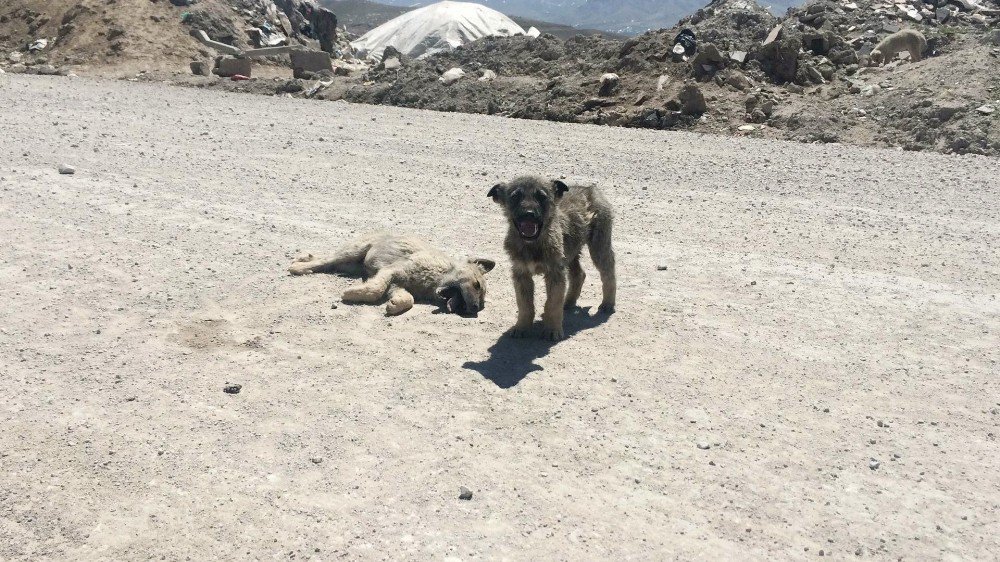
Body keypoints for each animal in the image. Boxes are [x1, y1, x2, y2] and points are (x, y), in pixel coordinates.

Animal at [288, 232, 494, 316]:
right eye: (476, 285)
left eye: (481, 301)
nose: (474, 309)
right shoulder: (391, 271)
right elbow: (375, 289)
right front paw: (353, 293)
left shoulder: (397, 286)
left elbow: (408, 299)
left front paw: (394, 306)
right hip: (352, 253)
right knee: (325, 261)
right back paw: (298, 267)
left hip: (349, 264)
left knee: (326, 262)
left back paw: (304, 258)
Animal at [486, 175, 612, 340]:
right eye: (515, 196)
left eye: (542, 196)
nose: (528, 214)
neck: (533, 245)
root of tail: (589, 188)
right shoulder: (521, 274)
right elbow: (524, 305)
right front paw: (521, 327)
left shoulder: (555, 273)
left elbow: (552, 303)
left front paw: (552, 330)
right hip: (571, 254)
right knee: (579, 274)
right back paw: (569, 302)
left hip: (599, 246)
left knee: (608, 273)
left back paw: (608, 304)